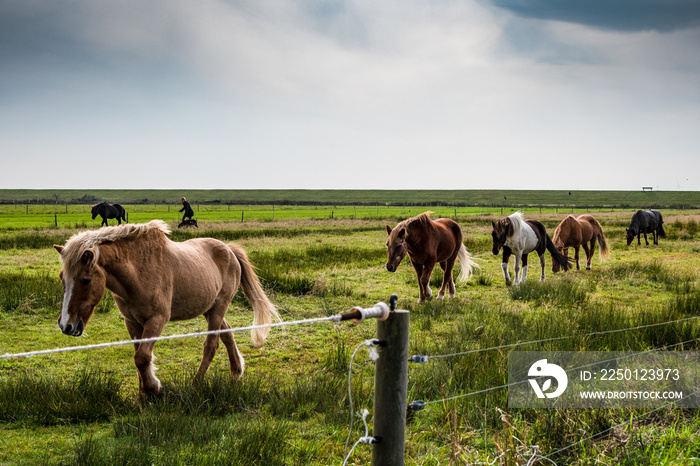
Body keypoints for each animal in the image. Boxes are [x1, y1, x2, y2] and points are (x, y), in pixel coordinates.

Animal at [53, 220, 278, 396]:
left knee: (211, 345)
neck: (138, 271)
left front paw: (153, 389)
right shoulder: (132, 322)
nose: (66, 325)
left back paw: (196, 383)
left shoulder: (157, 319)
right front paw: (142, 395)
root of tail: (229, 249)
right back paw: (236, 372)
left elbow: (142, 357)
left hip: (219, 306)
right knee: (227, 334)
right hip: (210, 308)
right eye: (62, 278)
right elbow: (139, 356)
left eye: (85, 280)